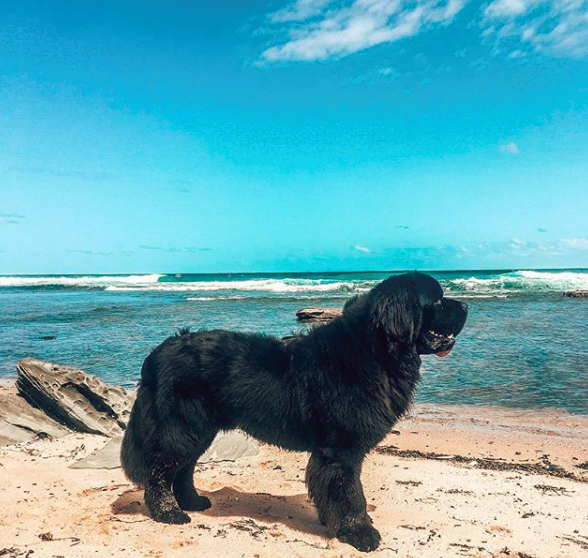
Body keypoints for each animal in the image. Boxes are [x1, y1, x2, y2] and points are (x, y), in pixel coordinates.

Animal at [120, 274, 468, 552]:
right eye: (437, 301)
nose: (465, 305)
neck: (375, 352)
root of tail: (159, 350)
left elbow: (334, 491)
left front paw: (335, 523)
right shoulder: (341, 449)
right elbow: (350, 493)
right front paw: (360, 533)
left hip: (199, 430)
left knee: (183, 468)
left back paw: (193, 502)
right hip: (181, 427)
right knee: (160, 470)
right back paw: (168, 513)